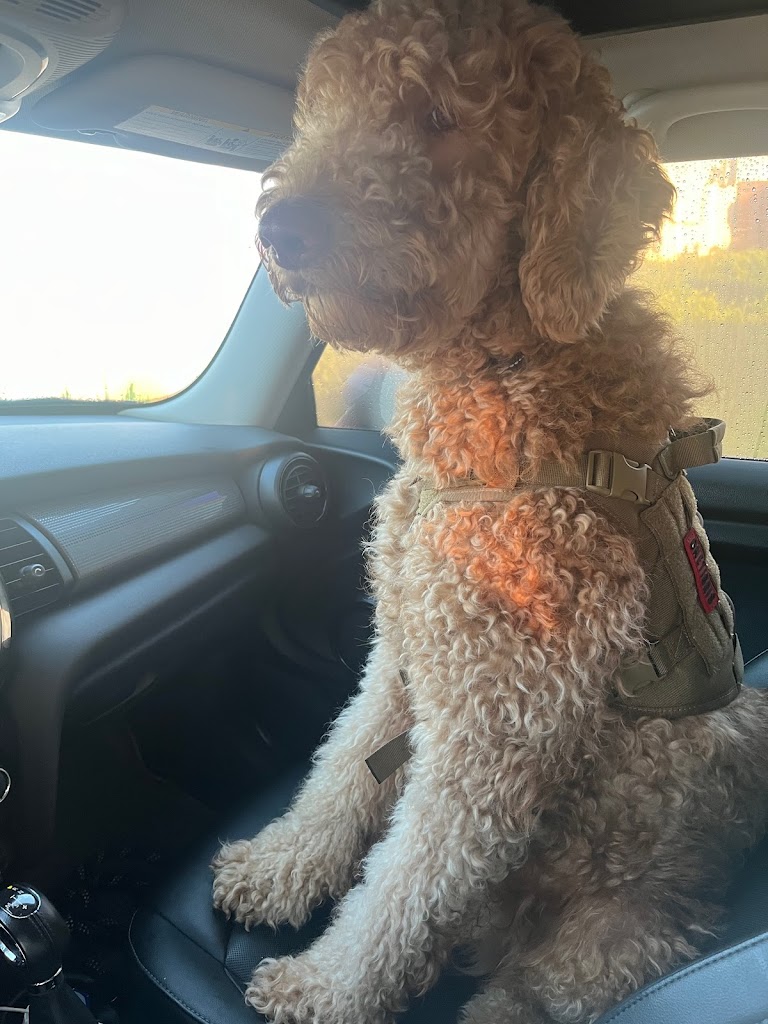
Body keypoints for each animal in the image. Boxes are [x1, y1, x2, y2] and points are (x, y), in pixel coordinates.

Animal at [212, 0, 768, 1020]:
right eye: (325, 113)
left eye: (437, 117)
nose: (281, 225)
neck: (515, 374)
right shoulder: (403, 653)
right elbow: (341, 772)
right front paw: (278, 869)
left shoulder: (498, 724)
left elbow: (407, 884)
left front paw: (326, 986)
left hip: (589, 959)